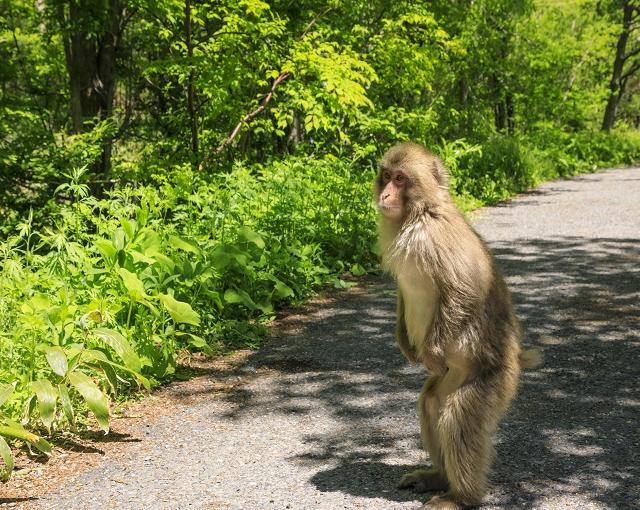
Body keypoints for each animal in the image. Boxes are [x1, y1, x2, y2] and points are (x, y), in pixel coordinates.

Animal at [376, 141, 540, 508]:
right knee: (432, 402)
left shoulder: (434, 236)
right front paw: (404, 342)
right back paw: (438, 477)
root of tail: (515, 358)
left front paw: (431, 353)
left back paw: (462, 497)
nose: (385, 194)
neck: (418, 213)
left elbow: (463, 290)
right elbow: (403, 292)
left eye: (401, 179)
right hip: (453, 377)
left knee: (459, 419)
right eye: (386, 175)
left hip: (493, 379)